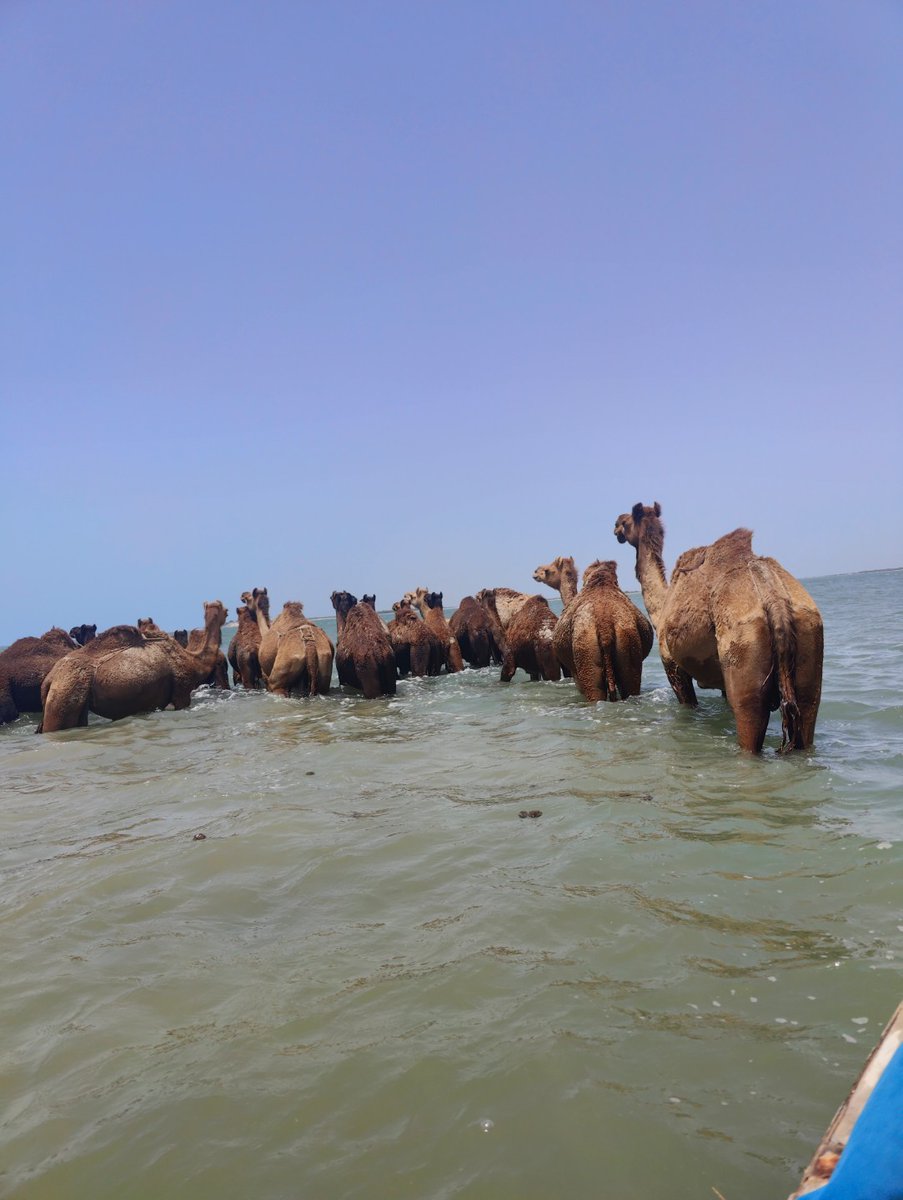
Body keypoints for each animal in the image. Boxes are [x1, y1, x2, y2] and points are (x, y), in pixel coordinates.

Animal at [39, 601, 229, 732]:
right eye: (222, 609)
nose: (227, 610)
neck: (192, 659)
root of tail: (49, 680)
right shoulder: (181, 692)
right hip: (66, 694)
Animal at [613, 501, 823, 752]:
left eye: (625, 522)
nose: (615, 526)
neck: (662, 605)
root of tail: (776, 599)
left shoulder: (672, 664)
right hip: (809, 639)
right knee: (808, 712)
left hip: (742, 645)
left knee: (748, 717)